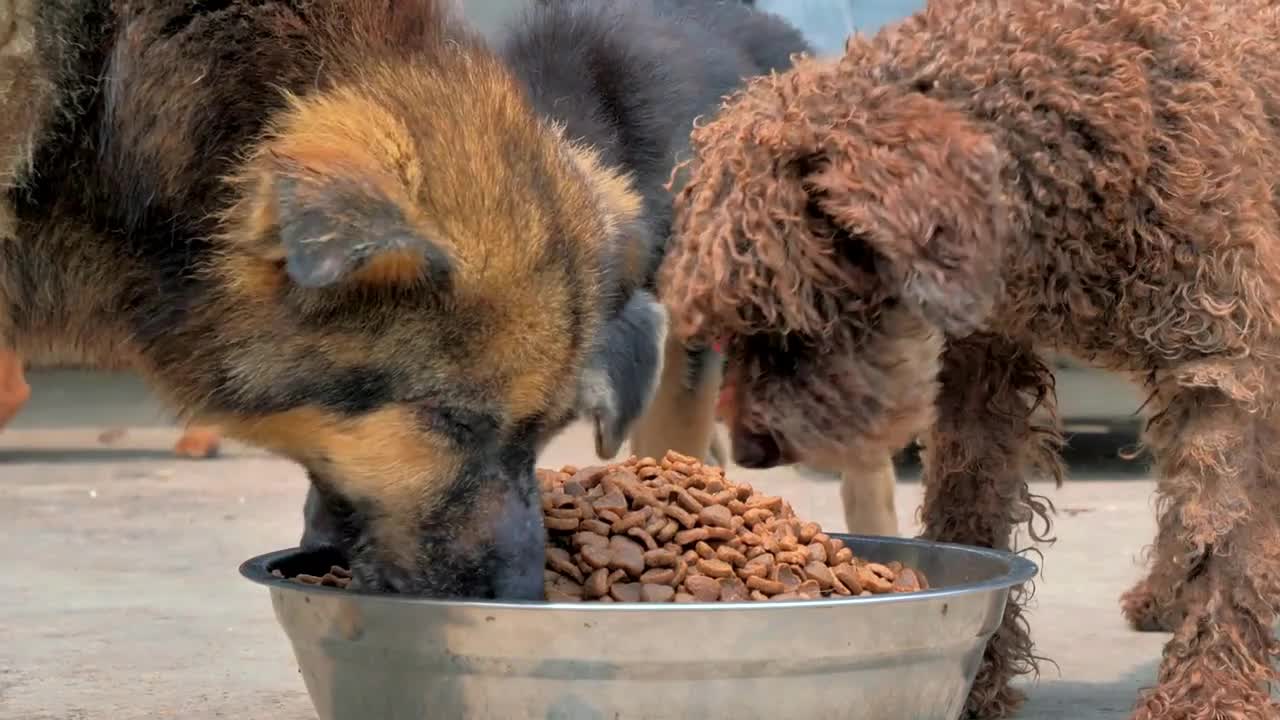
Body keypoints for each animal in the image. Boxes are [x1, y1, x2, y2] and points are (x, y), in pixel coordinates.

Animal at [665, 0, 1280, 712]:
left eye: (789, 328)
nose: (750, 452)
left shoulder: (1224, 358)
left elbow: (1225, 537)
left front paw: (1206, 694)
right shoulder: (978, 364)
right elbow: (969, 505)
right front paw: (980, 675)